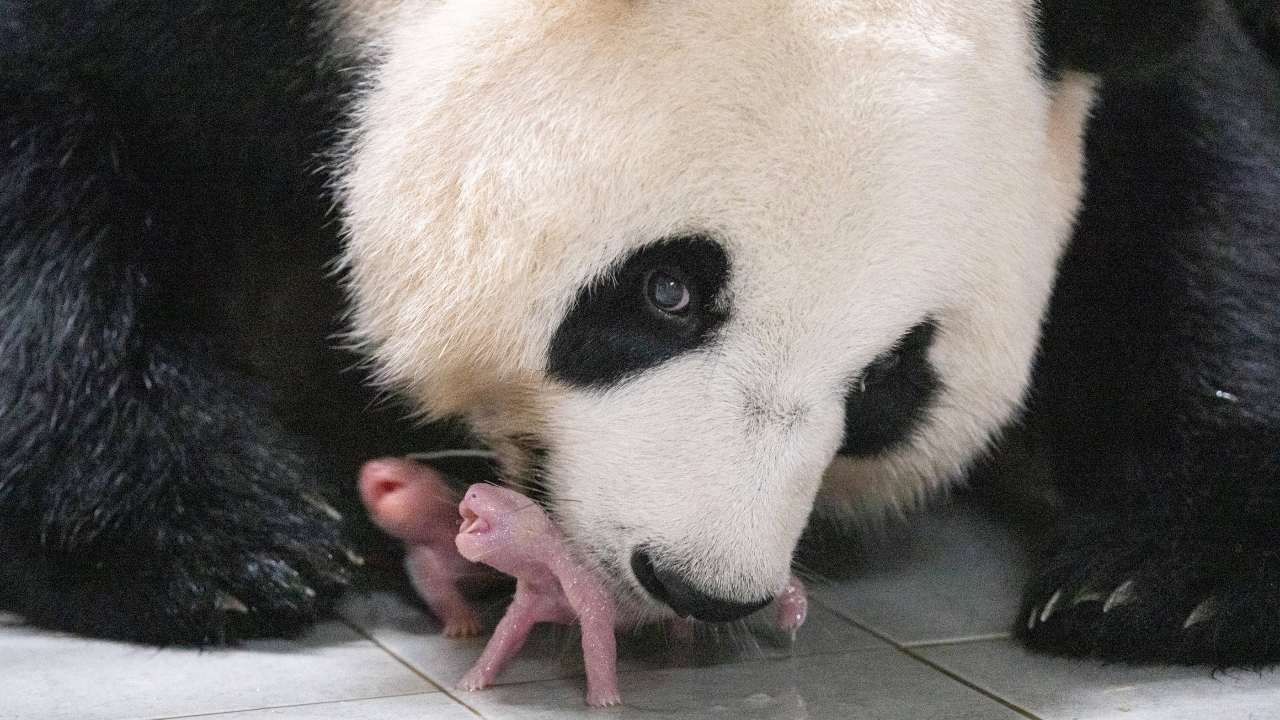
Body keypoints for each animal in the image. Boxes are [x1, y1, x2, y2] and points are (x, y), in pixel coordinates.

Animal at [3, 0, 1278, 668]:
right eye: (667, 292)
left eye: (888, 380)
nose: (701, 585)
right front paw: (211, 541)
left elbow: (1198, 188)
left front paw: (1162, 576)